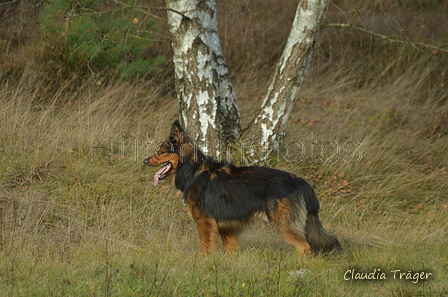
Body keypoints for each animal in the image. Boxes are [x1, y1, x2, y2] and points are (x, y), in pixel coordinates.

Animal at [145, 119, 342, 256]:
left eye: (161, 152)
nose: (144, 161)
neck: (193, 171)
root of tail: (300, 181)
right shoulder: (227, 229)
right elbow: (230, 250)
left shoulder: (205, 223)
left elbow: (206, 249)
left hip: (283, 225)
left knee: (305, 247)